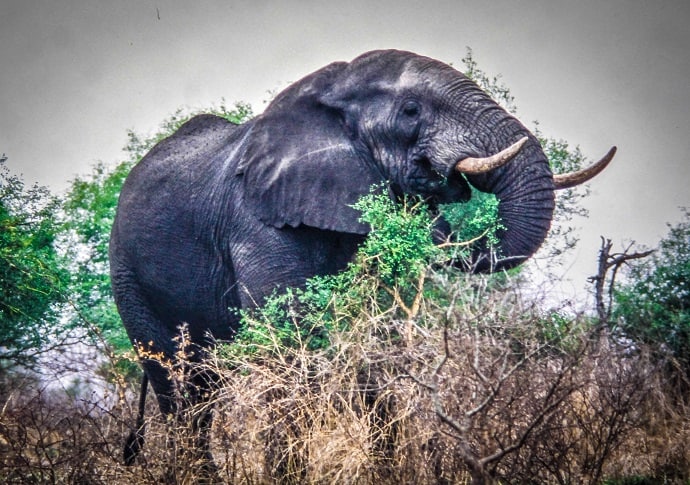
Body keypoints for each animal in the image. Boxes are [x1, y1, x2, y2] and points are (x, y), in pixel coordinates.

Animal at [111, 49, 612, 466]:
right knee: (182, 392)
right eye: (411, 111)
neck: (329, 94)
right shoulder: (255, 222)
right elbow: (290, 345)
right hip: (129, 279)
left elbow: (377, 349)